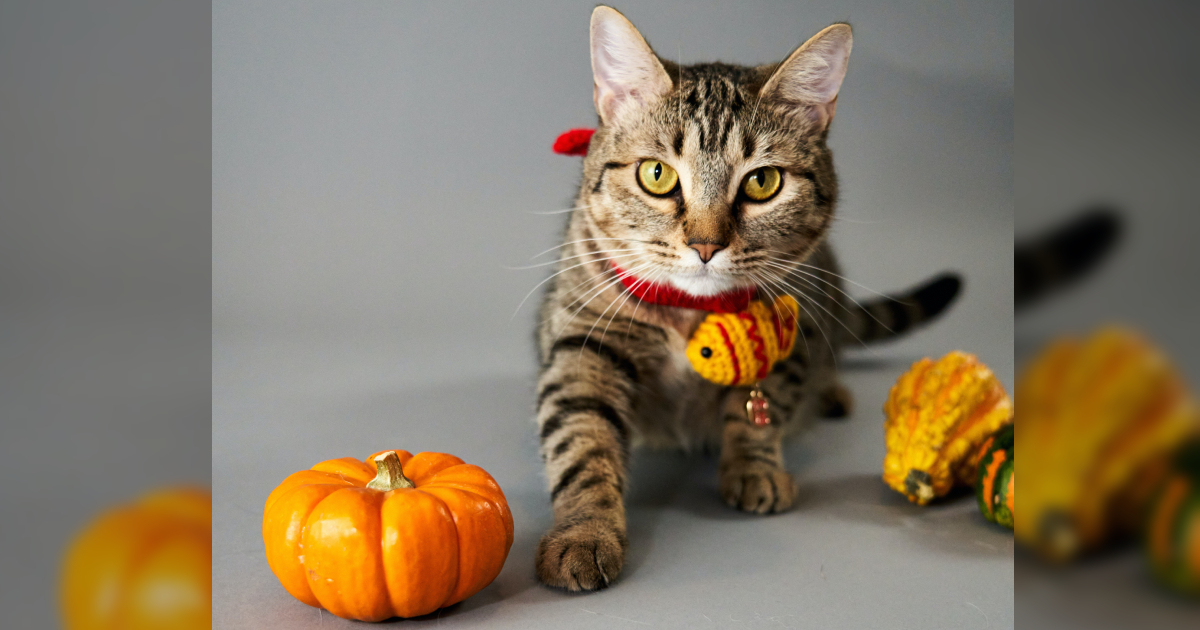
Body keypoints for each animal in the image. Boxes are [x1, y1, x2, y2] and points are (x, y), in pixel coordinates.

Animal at [535, 7, 964, 590]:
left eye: (763, 182)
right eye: (656, 174)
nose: (705, 245)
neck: (690, 314)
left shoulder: (796, 329)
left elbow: (761, 408)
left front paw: (754, 467)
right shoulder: (582, 344)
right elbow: (581, 441)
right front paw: (583, 533)